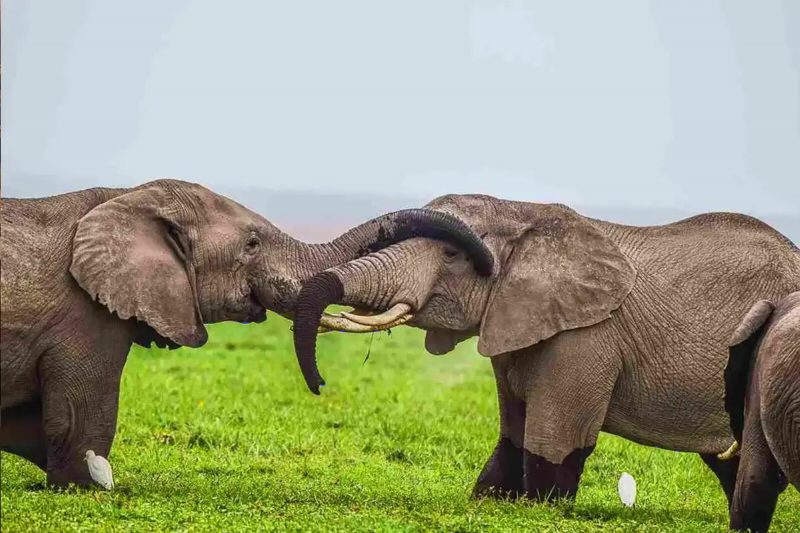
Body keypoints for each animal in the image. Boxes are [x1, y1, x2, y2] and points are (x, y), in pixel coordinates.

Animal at [0, 179, 487, 487]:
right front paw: (91, 484)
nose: (321, 385)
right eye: (251, 245)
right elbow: (78, 427)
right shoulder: (85, 315)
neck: (124, 198)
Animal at [290, 194, 800, 504]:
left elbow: (552, 445)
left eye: (452, 256)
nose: (320, 385)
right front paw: (489, 501)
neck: (524, 213)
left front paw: (539, 507)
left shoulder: (587, 338)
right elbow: (512, 435)